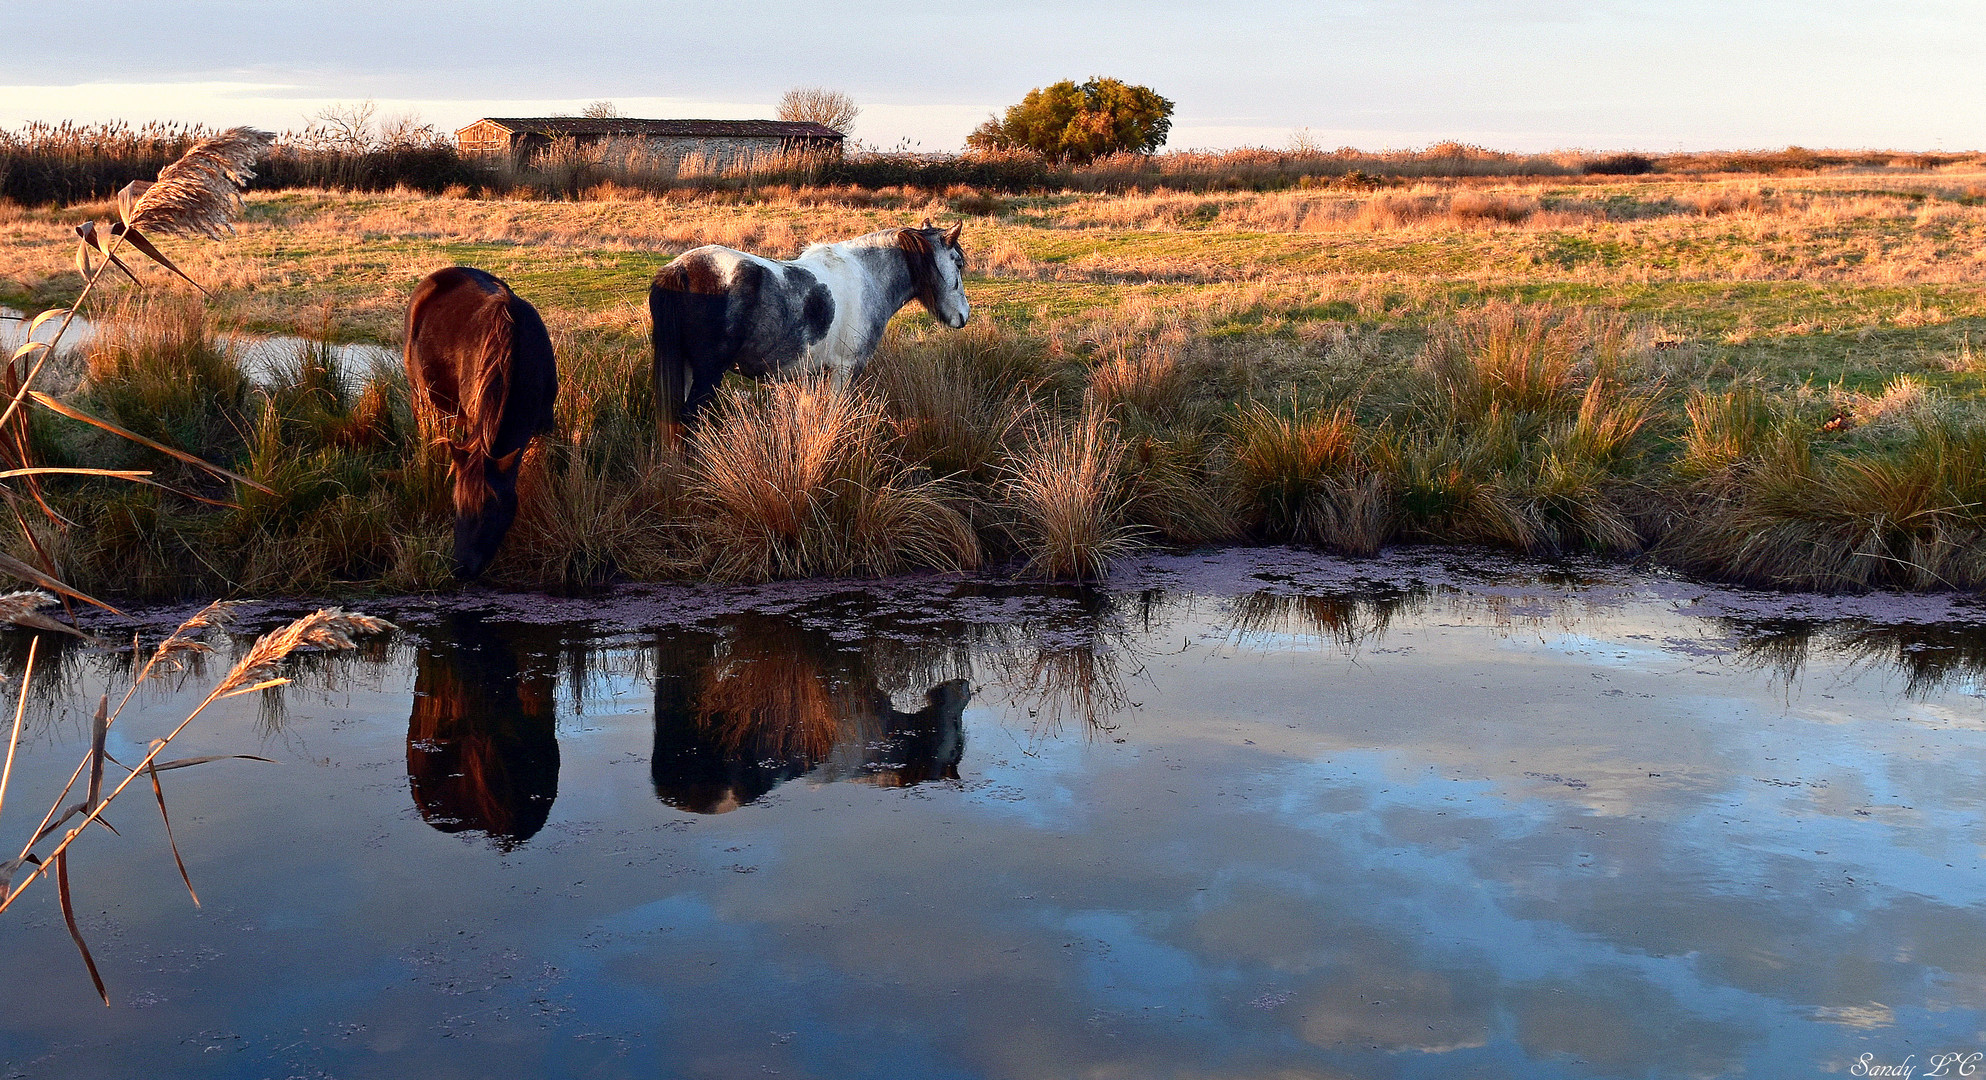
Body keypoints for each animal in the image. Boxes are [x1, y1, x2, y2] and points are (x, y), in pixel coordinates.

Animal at [647, 221, 965, 440]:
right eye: (959, 263)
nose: (963, 316)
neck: (866, 277)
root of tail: (679, 269)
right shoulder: (845, 369)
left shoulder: (811, 374)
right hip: (707, 373)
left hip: (686, 367)